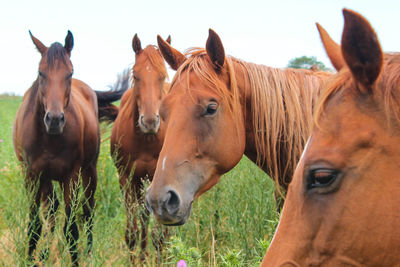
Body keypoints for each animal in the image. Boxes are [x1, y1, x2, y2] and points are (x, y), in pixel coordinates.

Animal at [12, 30, 128, 266]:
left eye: (69, 73)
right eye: (41, 73)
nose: (55, 119)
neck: (49, 139)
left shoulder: (71, 177)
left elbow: (71, 228)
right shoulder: (32, 176)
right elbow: (34, 225)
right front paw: (31, 258)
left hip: (89, 172)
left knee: (88, 211)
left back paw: (89, 253)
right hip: (47, 181)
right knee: (51, 212)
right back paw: (45, 253)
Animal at [110, 34, 171, 266]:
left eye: (162, 76)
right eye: (135, 76)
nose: (150, 121)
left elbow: (160, 237)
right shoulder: (126, 178)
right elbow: (133, 233)